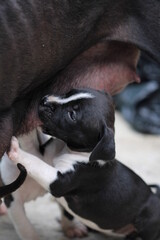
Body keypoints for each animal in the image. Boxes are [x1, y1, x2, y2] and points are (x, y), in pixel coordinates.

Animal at [8, 88, 160, 240]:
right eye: (69, 92)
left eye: (72, 115)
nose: (44, 100)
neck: (71, 151)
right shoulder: (45, 156)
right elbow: (33, 151)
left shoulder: (60, 182)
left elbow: (35, 163)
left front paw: (16, 151)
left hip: (147, 221)